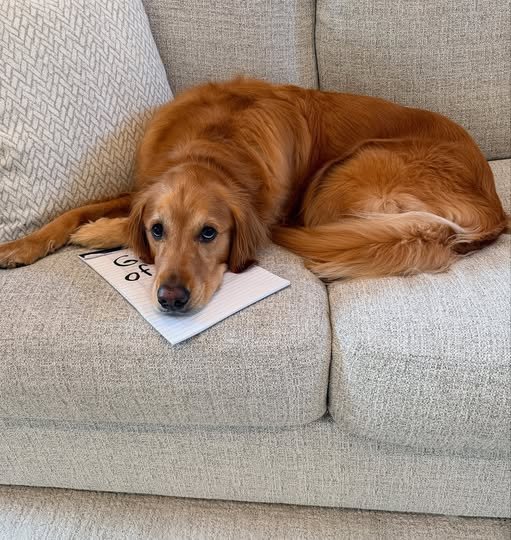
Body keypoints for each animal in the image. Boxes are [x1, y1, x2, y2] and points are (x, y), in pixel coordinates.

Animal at [0, 78, 507, 312]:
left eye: (209, 234)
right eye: (157, 230)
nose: (171, 298)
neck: (213, 146)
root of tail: (494, 210)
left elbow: (109, 223)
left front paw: (99, 232)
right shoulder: (144, 184)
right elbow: (74, 210)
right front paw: (21, 245)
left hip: (341, 174)